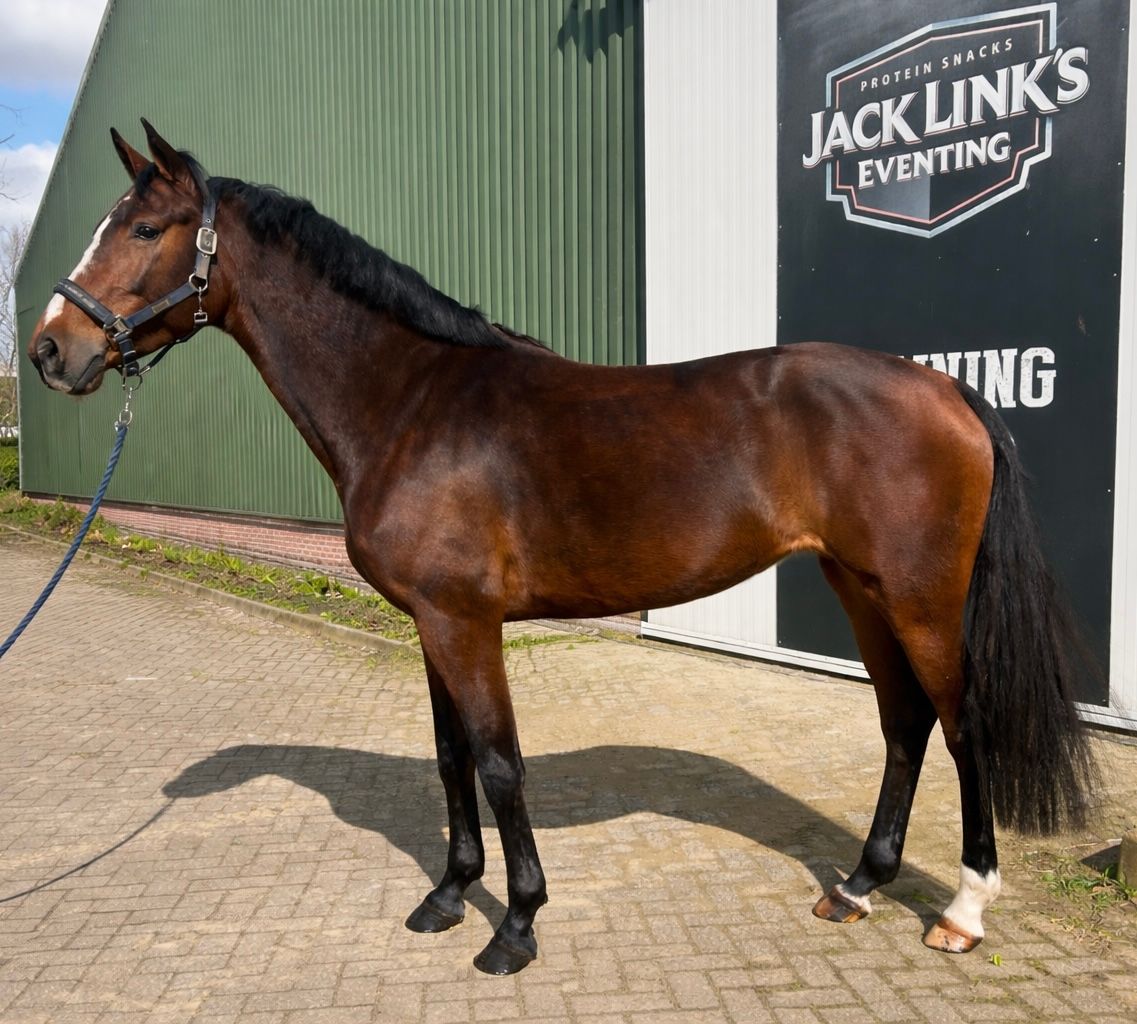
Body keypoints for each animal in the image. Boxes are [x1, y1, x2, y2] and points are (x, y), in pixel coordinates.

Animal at [27, 121, 1096, 975]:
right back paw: (858, 886)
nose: (47, 350)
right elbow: (451, 756)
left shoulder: (466, 621)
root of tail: (946, 388)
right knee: (902, 724)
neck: (410, 403)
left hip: (920, 597)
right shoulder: (431, 623)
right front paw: (447, 896)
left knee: (960, 728)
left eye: (144, 229)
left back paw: (961, 911)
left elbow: (500, 763)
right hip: (858, 585)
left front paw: (516, 926)